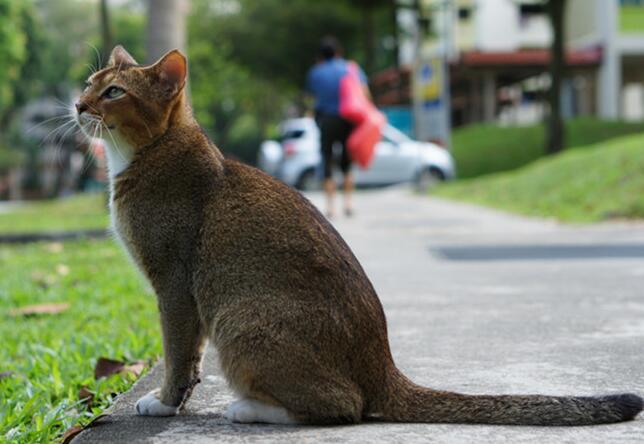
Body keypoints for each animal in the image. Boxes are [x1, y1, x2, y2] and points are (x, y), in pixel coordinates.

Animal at [74, 45, 643, 426]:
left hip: (239, 319)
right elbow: (185, 358)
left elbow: (177, 353)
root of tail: (383, 368)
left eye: (114, 92)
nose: (78, 105)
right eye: (89, 82)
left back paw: (251, 409)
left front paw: (164, 401)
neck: (155, 150)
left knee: (346, 406)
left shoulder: (173, 284)